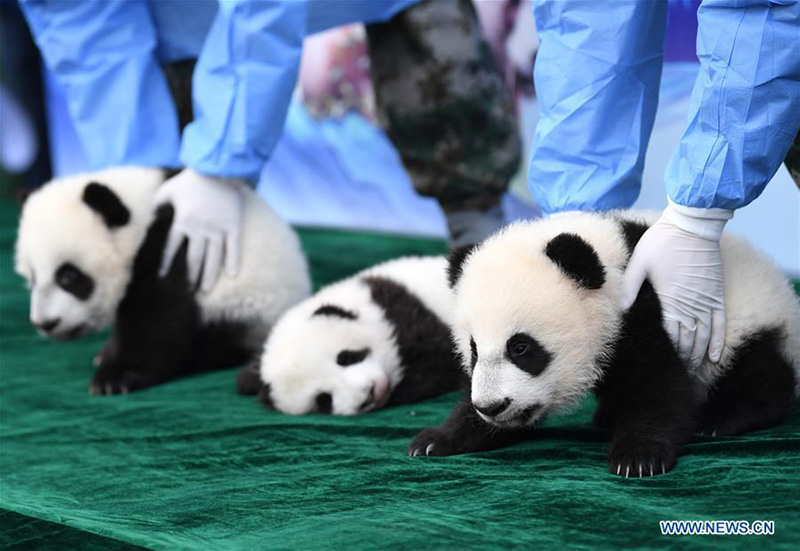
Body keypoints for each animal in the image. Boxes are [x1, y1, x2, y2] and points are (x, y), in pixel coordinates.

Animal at [15, 167, 312, 394]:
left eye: (69, 276)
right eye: (32, 277)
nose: (45, 324)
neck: (141, 215)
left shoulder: (174, 249)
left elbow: (159, 319)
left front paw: (116, 377)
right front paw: (108, 357)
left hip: (248, 304)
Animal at [408, 211, 800, 476]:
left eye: (521, 348)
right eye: (474, 350)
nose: (491, 407)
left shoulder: (641, 308)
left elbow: (657, 384)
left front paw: (638, 456)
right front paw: (436, 439)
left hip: (743, 327)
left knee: (758, 372)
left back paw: (722, 418)